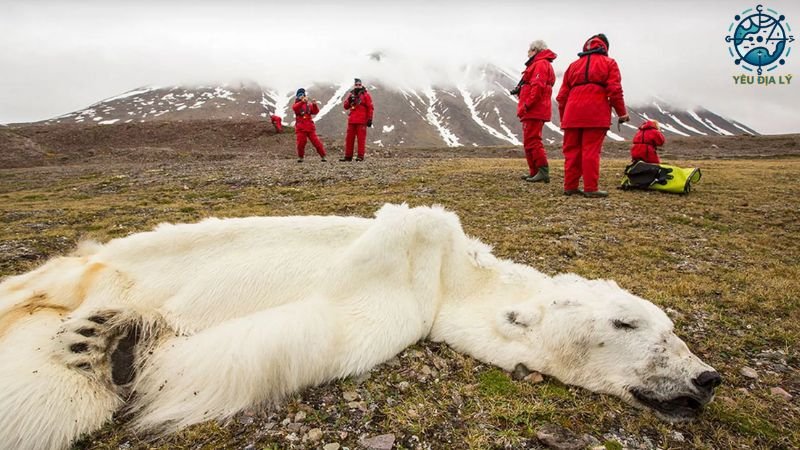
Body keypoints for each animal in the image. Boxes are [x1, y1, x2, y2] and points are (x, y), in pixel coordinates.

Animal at [0, 205, 720, 450]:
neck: (451, 277)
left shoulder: (403, 308)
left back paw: (98, 342)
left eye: (672, 329)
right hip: (79, 271)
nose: (706, 378)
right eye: (629, 321)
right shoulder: (409, 268)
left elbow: (293, 337)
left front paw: (125, 347)